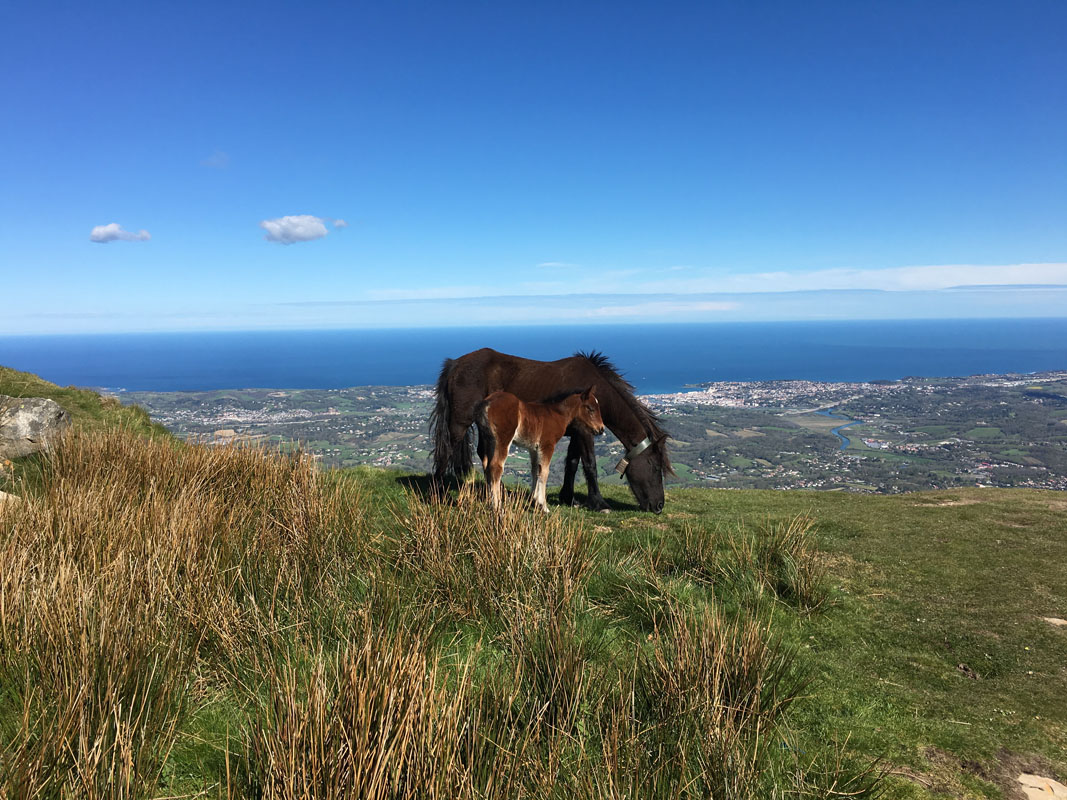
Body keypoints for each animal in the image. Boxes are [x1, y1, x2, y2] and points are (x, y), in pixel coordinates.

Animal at [431, 349, 665, 514]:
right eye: (655, 467)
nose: (659, 506)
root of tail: (454, 364)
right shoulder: (584, 434)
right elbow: (590, 465)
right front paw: (599, 503)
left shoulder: (575, 433)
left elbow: (571, 463)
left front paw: (568, 498)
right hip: (459, 423)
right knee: (447, 451)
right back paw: (439, 494)